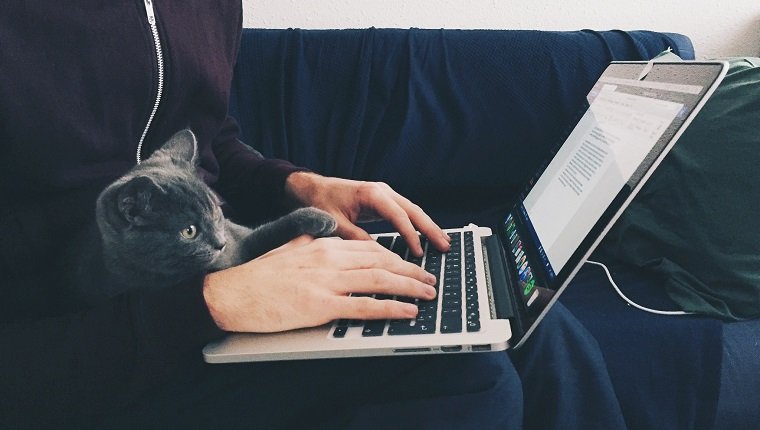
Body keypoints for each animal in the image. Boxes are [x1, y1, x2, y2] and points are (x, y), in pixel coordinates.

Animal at [72, 129, 338, 304]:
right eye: (189, 231)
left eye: (216, 212)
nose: (221, 243)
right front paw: (320, 217)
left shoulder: (240, 236)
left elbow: (264, 233)